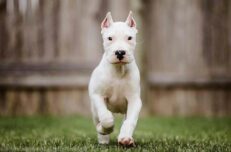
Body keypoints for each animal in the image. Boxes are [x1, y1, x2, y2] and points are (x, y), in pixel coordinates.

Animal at [88, 11, 142, 146]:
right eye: (110, 38)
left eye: (129, 38)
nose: (120, 52)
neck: (118, 70)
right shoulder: (98, 96)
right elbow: (106, 118)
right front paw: (104, 128)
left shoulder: (134, 100)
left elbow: (130, 121)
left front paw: (125, 138)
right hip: (94, 110)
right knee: (99, 118)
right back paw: (103, 140)